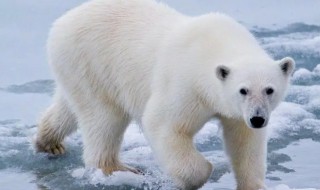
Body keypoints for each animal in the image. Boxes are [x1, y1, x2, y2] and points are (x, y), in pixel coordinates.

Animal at [35, 0, 296, 189]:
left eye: (269, 90)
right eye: (243, 90)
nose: (258, 118)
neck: (214, 45)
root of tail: (61, 22)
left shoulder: (235, 113)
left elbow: (245, 141)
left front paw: (252, 184)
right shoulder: (186, 84)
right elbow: (163, 124)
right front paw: (199, 173)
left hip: (79, 71)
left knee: (69, 106)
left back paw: (49, 142)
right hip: (91, 61)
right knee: (104, 118)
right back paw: (117, 169)